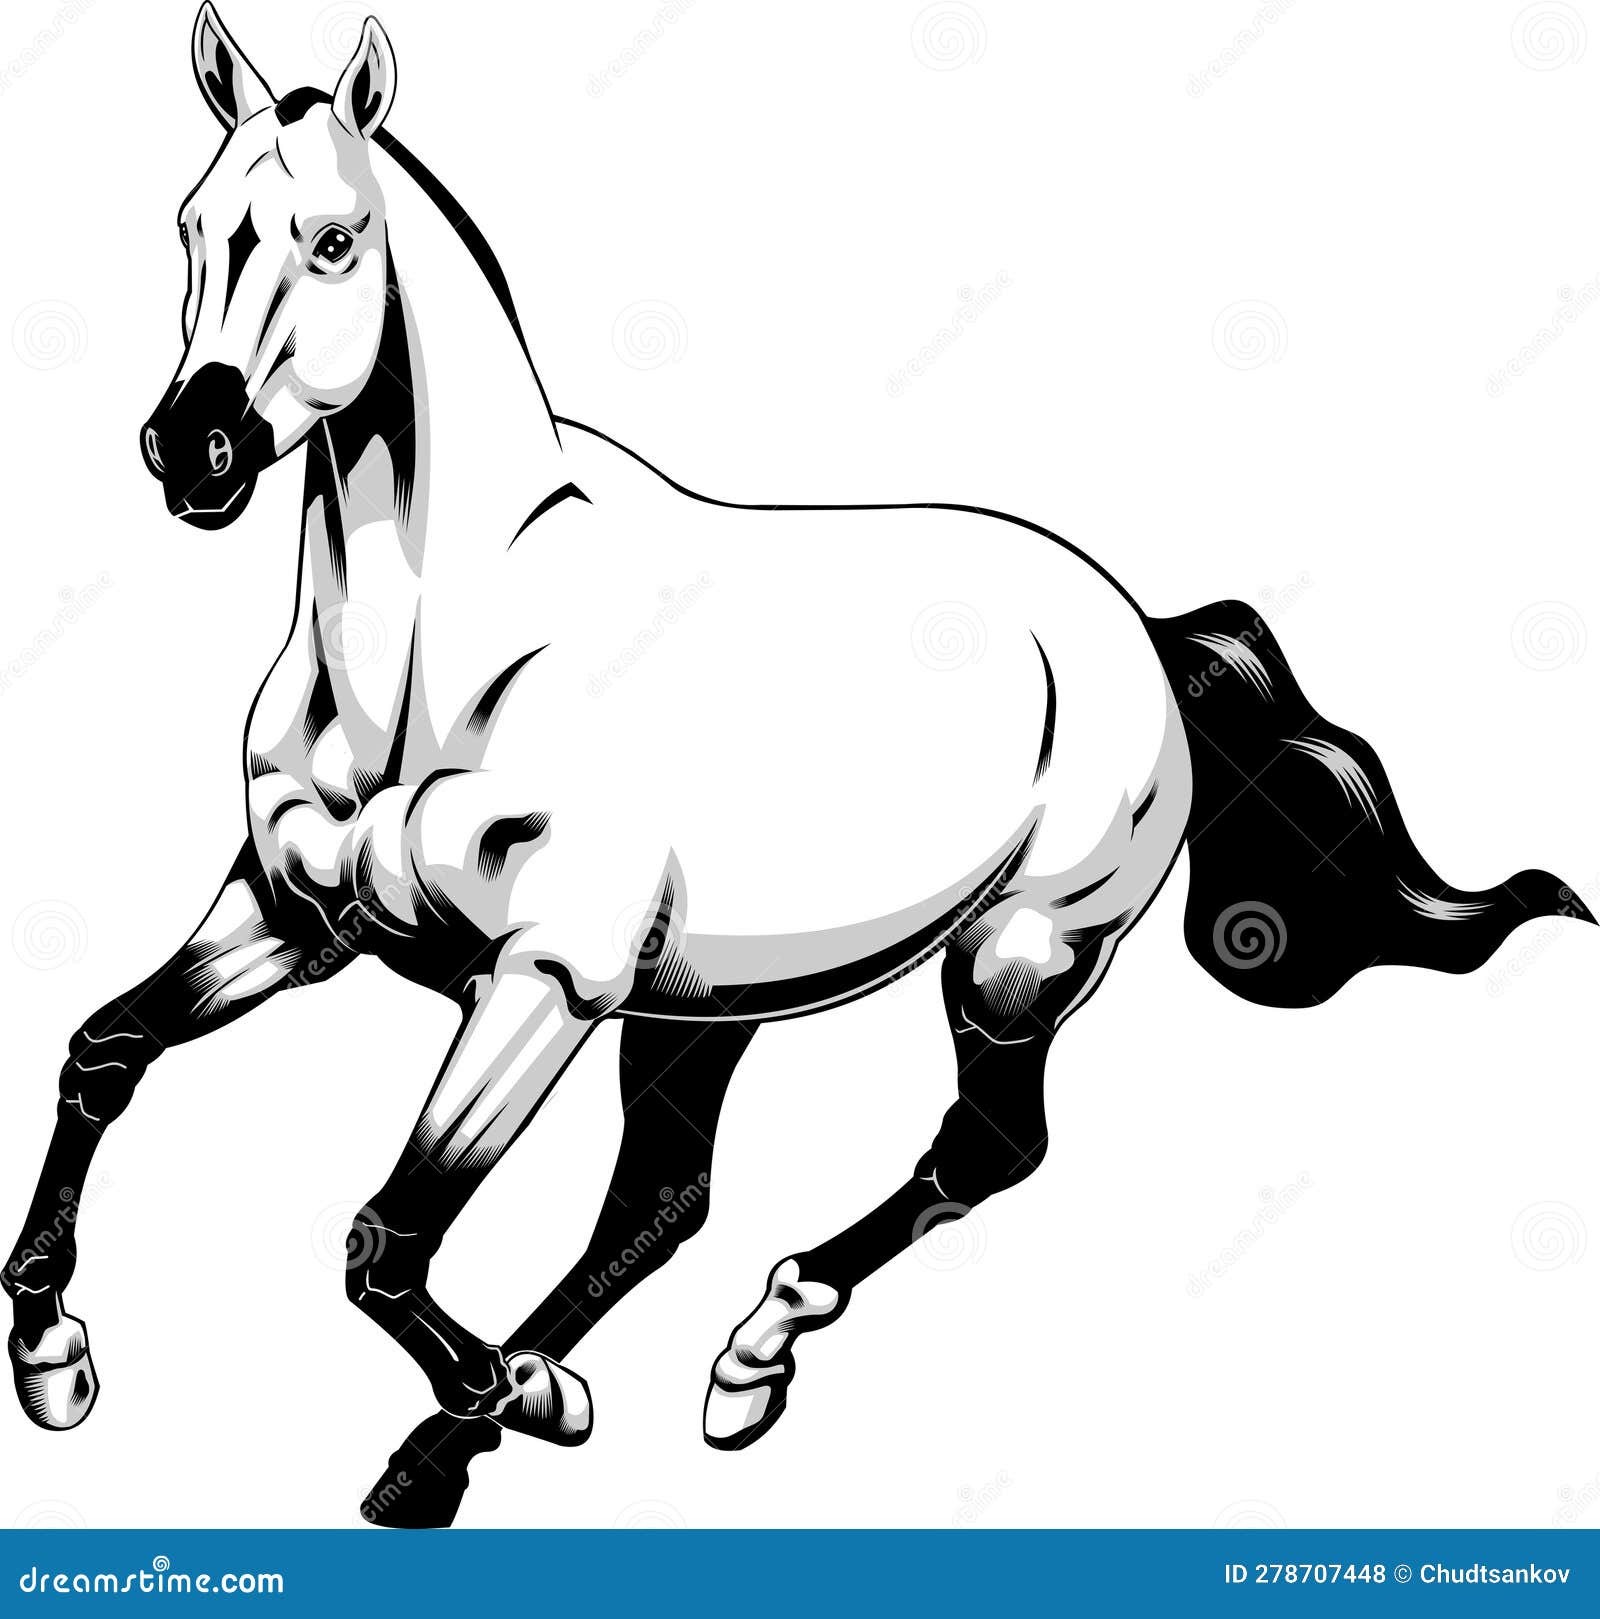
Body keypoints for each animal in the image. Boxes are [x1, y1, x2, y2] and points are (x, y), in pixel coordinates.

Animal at [6, 6, 1591, 1529]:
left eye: (334, 238)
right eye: (191, 224)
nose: (194, 446)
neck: (433, 661)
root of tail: (1140, 629)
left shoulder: (544, 979)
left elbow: (381, 1241)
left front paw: (526, 1398)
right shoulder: (287, 915)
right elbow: (102, 1052)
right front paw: (51, 1356)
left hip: (1018, 957)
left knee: (982, 1151)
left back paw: (735, 1355)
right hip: (711, 1001)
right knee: (663, 1201)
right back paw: (526, 1419)